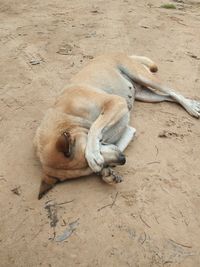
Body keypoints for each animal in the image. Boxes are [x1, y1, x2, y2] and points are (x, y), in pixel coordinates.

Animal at [33, 52, 199, 199]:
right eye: (88, 171)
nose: (122, 160)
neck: (69, 116)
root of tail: (120, 53)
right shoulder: (128, 130)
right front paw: (106, 174)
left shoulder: (115, 102)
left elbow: (95, 128)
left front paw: (92, 154)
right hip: (148, 96)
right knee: (169, 97)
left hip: (142, 76)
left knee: (172, 91)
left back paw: (191, 107)